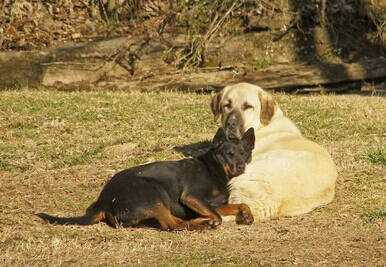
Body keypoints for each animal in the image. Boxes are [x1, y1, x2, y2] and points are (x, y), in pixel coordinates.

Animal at [36, 129, 255, 231]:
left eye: (244, 154)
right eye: (228, 154)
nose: (241, 166)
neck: (214, 169)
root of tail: (103, 201)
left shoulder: (211, 204)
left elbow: (240, 204)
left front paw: (246, 215)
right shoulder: (191, 197)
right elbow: (217, 215)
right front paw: (212, 220)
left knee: (173, 221)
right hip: (153, 191)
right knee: (171, 224)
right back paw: (202, 223)